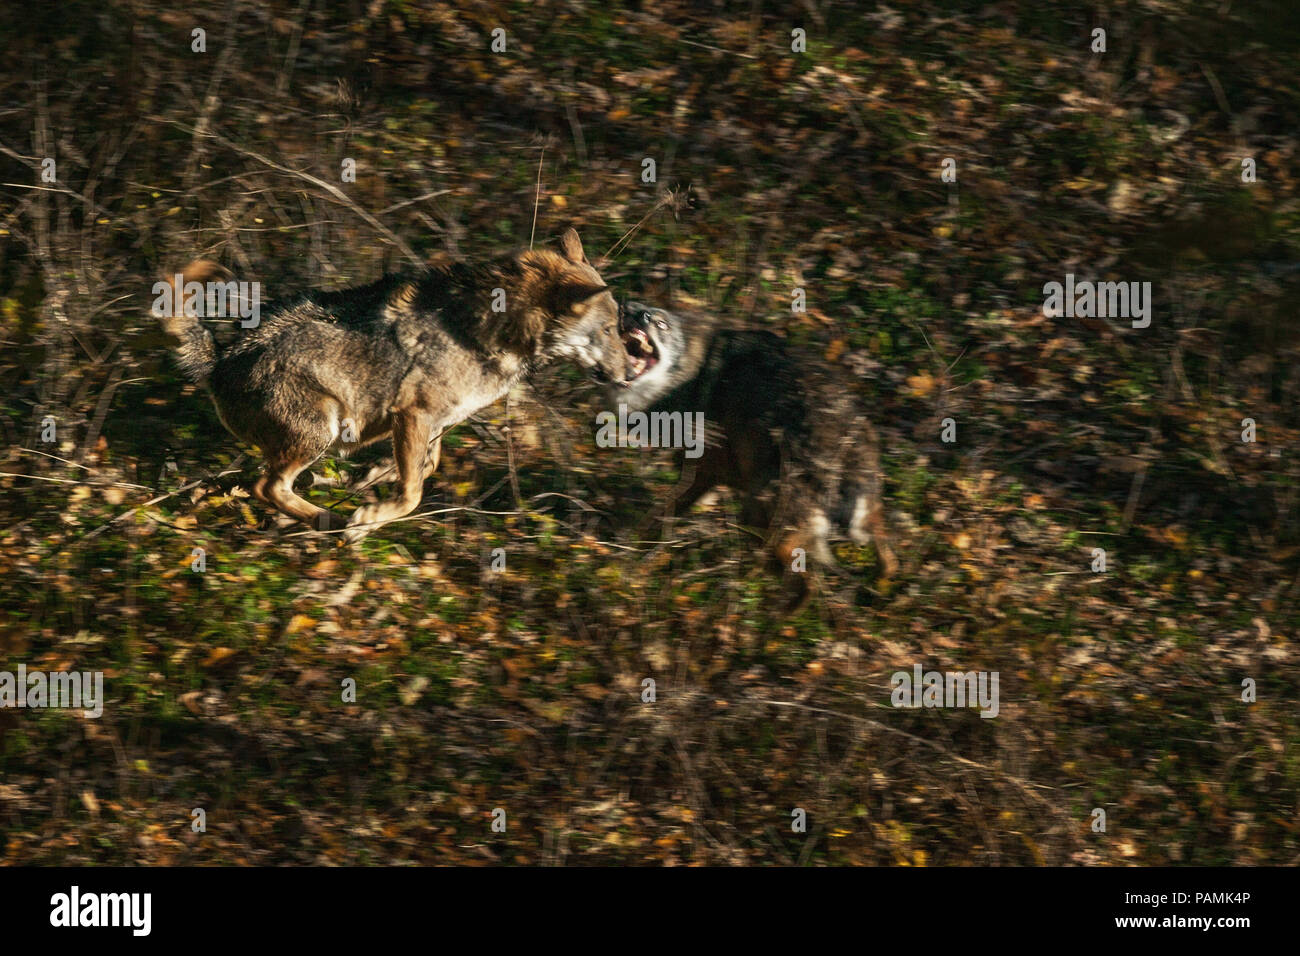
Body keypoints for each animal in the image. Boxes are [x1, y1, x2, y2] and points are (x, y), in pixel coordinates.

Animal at [158, 229, 633, 541]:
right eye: (610, 330)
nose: (630, 373)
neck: (492, 327)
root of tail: (219, 360)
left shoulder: (432, 423)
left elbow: (428, 465)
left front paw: (370, 478)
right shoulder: (414, 416)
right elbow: (412, 494)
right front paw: (368, 516)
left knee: (261, 485)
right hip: (322, 429)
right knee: (267, 487)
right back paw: (332, 523)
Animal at [609, 302, 898, 607]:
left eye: (659, 323)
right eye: (637, 308)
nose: (628, 306)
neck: (693, 369)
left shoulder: (702, 471)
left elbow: (661, 512)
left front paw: (633, 545)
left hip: (761, 518)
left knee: (805, 583)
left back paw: (768, 614)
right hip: (857, 519)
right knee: (889, 560)